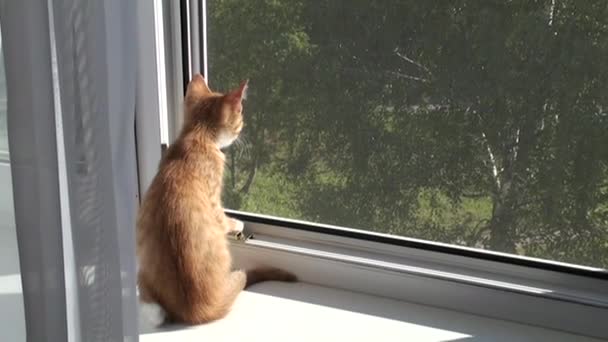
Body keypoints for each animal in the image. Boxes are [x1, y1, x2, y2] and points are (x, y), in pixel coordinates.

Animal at [136, 74, 296, 324]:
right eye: (240, 116)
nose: (242, 128)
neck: (196, 136)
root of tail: (198, 308)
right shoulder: (214, 201)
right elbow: (223, 218)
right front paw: (236, 223)